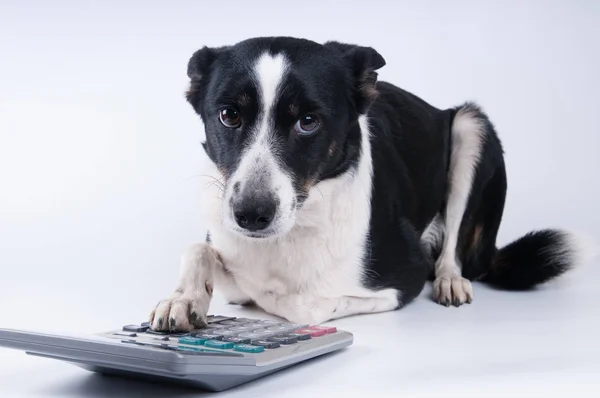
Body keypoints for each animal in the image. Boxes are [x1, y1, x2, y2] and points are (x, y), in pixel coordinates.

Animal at [148, 36, 584, 330]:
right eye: (229, 115)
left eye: (308, 121)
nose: (251, 215)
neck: (296, 226)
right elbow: (200, 251)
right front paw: (181, 299)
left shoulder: (402, 277)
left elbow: (300, 305)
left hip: (470, 126)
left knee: (455, 251)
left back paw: (450, 279)